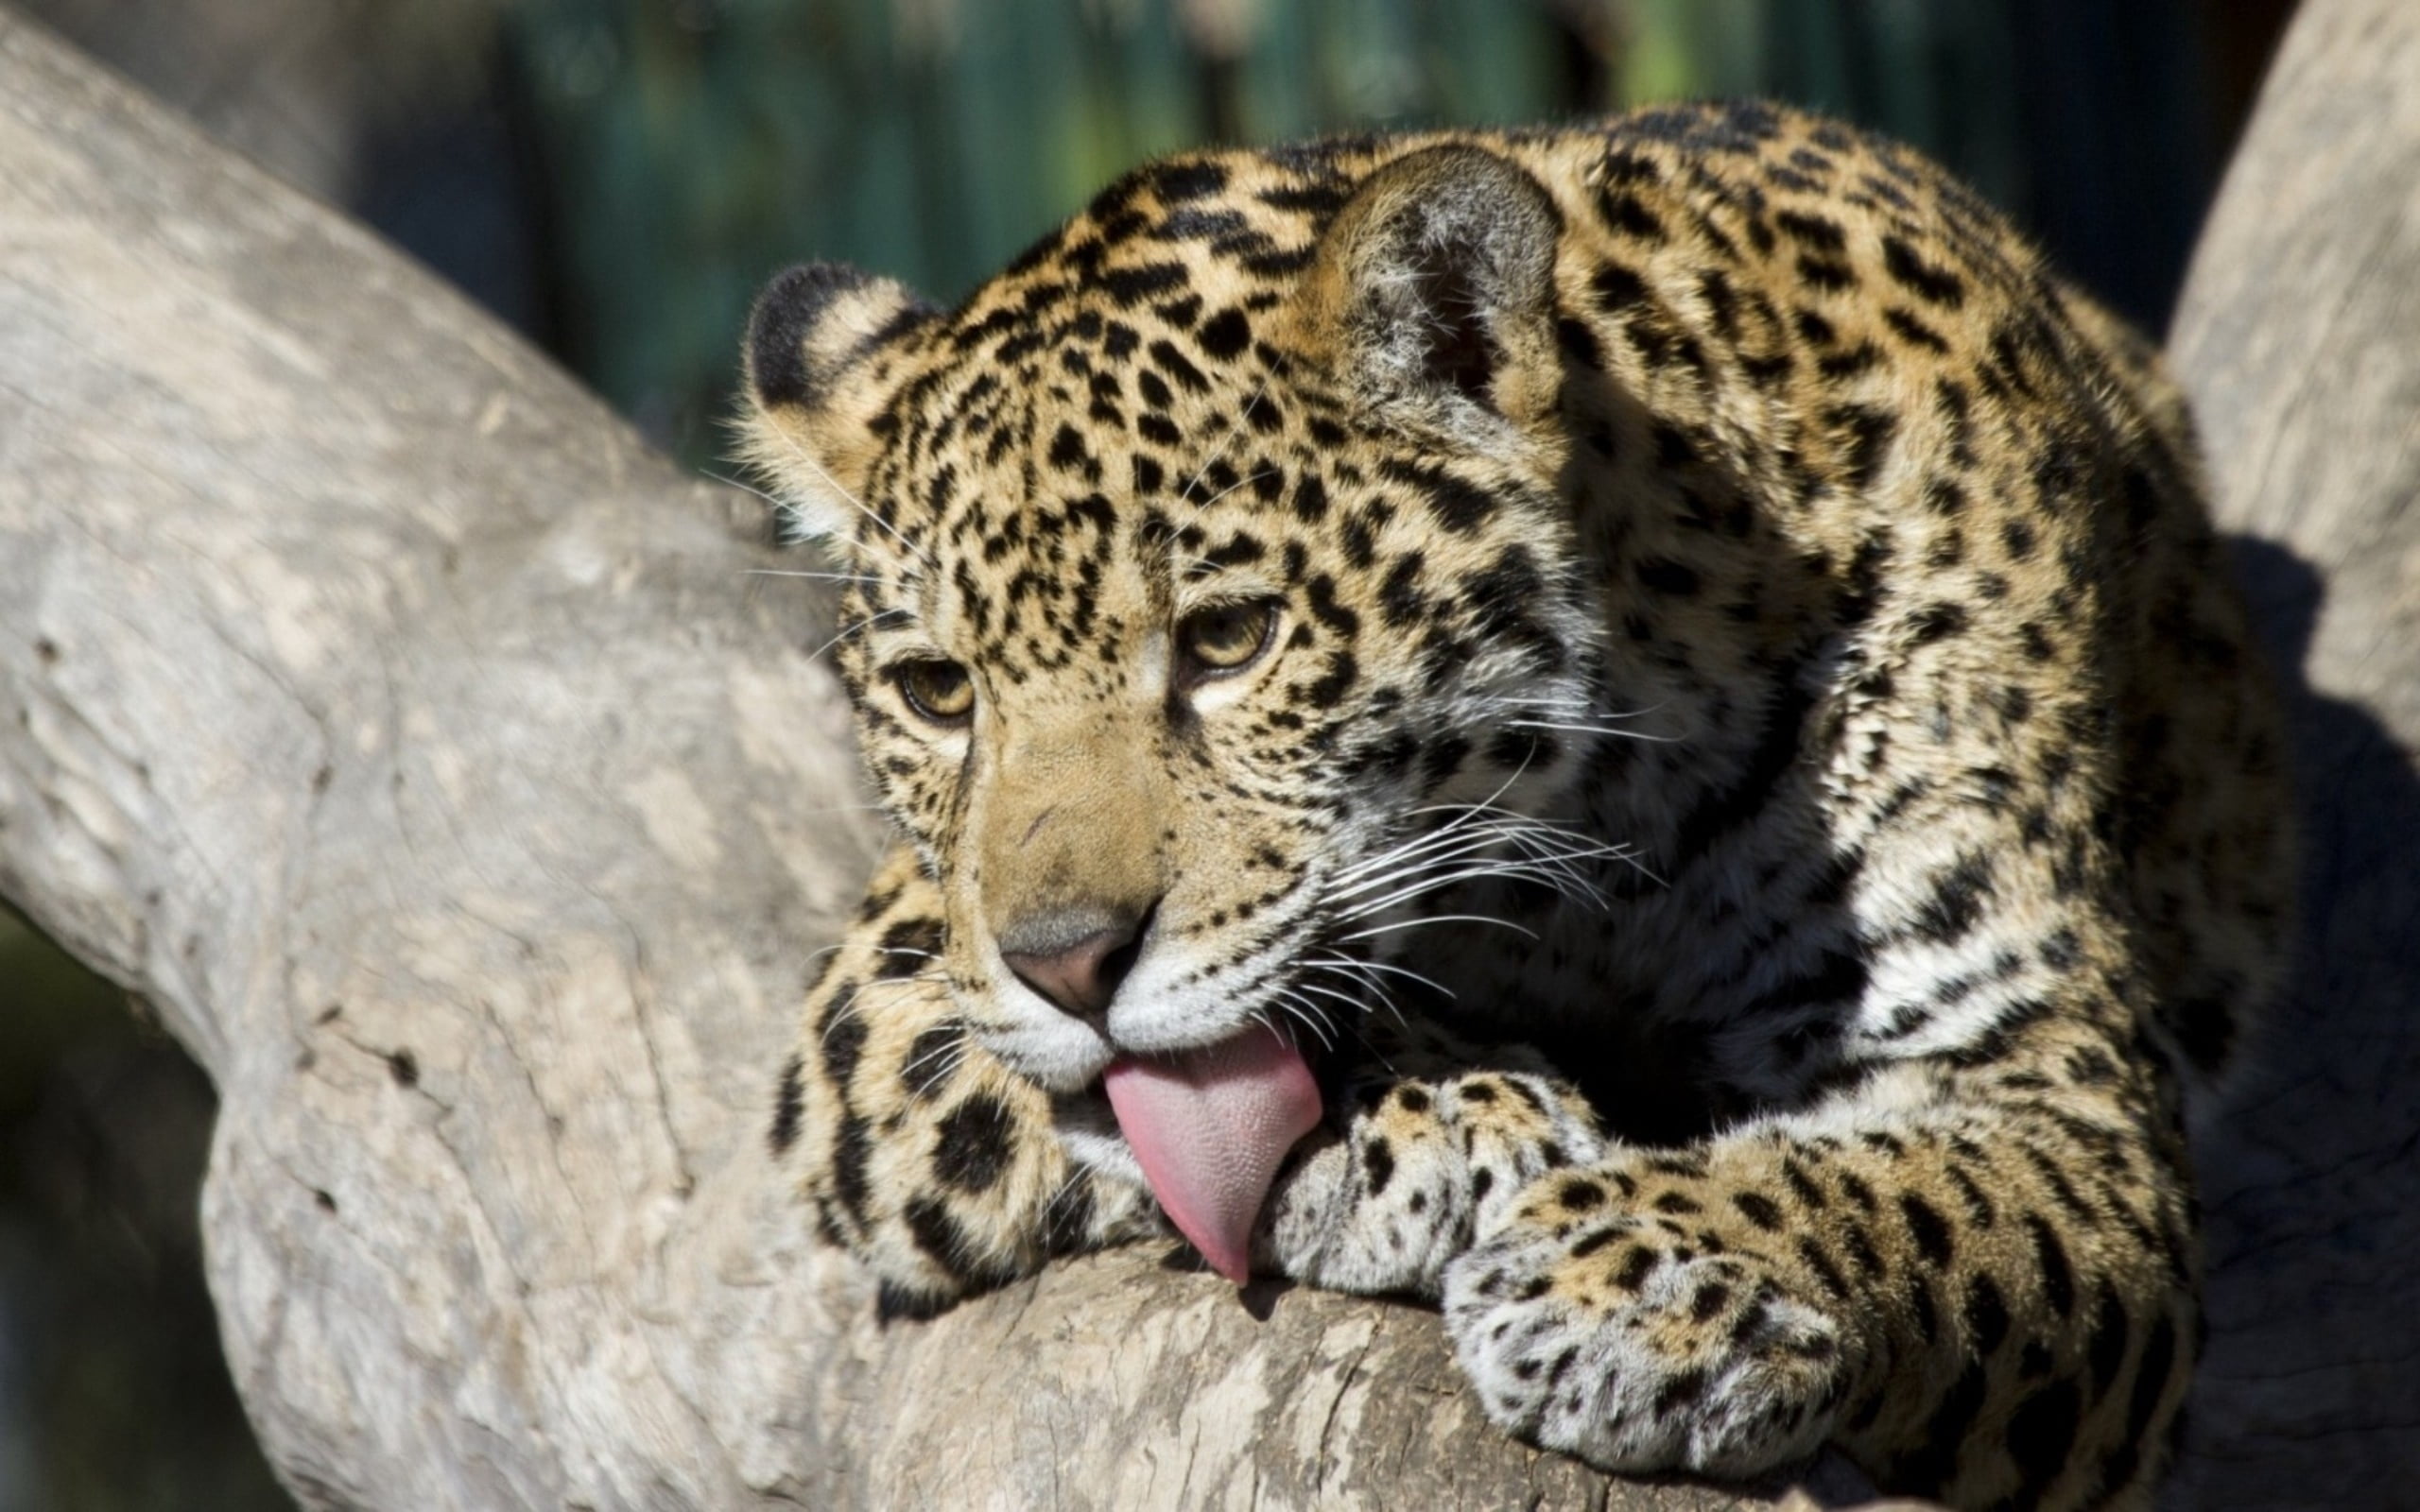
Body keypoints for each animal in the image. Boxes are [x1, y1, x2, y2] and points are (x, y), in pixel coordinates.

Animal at [735, 100, 2290, 1510]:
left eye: (1230, 639)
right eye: (939, 691)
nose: (1068, 966)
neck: (1591, 851)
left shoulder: (2058, 1092)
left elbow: (1919, 1197)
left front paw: (1654, 1273)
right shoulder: (887, 987)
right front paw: (1431, 1117)